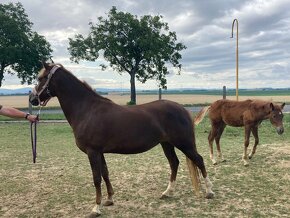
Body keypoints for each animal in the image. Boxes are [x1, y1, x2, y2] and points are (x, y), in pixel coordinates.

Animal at [29, 62, 214, 216]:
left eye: (41, 78)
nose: (32, 99)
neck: (87, 110)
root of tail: (182, 109)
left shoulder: (92, 152)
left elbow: (96, 178)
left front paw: (96, 208)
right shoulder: (99, 152)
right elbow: (105, 173)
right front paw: (109, 200)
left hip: (184, 143)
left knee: (199, 160)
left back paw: (209, 192)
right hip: (167, 144)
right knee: (174, 163)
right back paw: (167, 192)